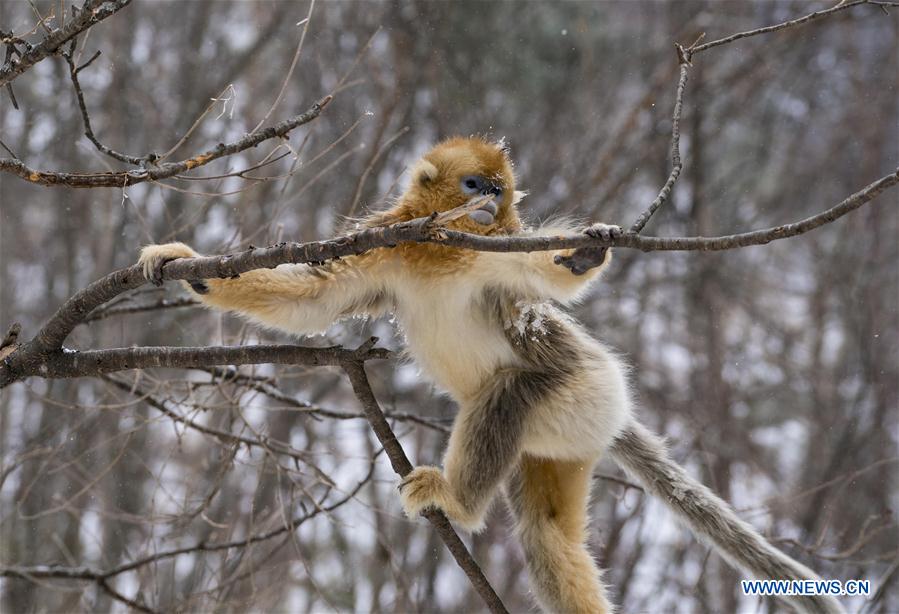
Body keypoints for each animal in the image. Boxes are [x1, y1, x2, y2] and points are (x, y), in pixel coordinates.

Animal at [139, 137, 843, 614]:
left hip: (582, 388)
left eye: (498, 191)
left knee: (507, 391)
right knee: (547, 534)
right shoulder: (381, 248)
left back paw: (455, 501)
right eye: (475, 184)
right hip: (562, 442)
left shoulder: (496, 257)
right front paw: (187, 265)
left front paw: (585, 253)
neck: (439, 254)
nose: (489, 203)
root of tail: (615, 411)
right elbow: (310, 299)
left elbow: (546, 277)